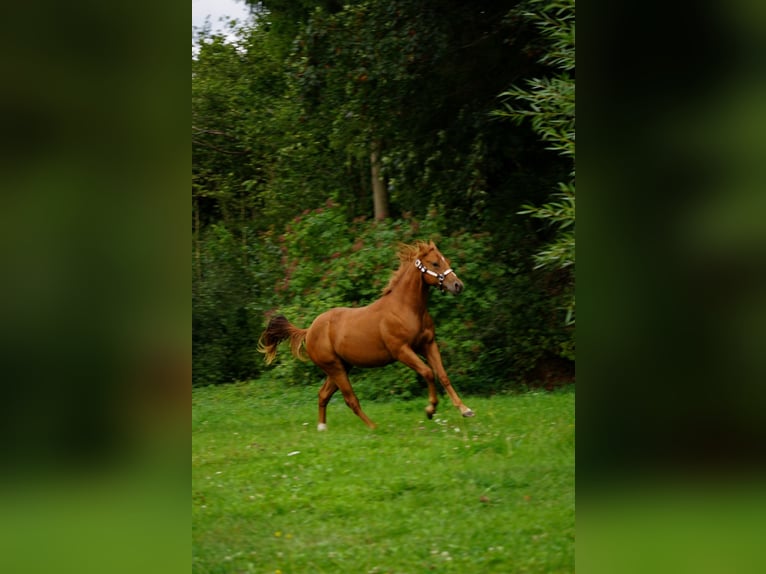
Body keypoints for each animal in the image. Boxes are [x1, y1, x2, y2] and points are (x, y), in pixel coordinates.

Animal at [258, 240, 474, 430]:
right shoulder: (401, 351)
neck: (407, 308)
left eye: (446, 260)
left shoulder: (428, 344)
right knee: (350, 399)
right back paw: (374, 427)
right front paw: (430, 410)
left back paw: (322, 428)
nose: (458, 285)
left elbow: (443, 376)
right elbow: (428, 372)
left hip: (341, 367)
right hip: (335, 368)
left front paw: (465, 410)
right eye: (435, 263)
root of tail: (309, 330)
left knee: (323, 395)